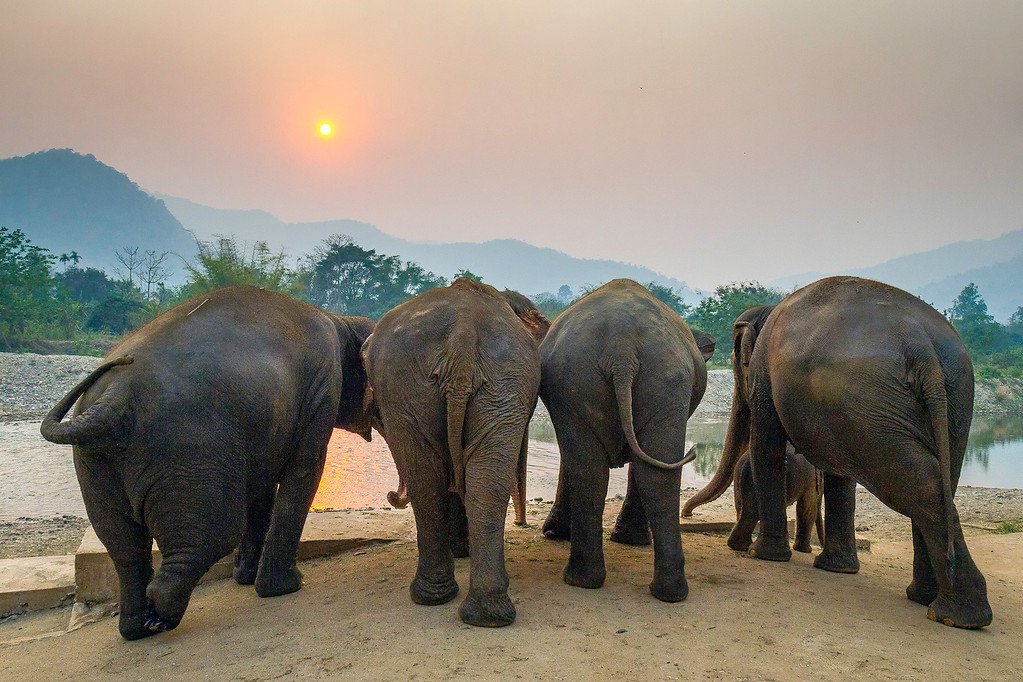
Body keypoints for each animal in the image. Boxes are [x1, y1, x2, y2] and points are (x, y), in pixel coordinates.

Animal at [40, 286, 374, 640]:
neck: (339, 320)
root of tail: (114, 397)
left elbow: (262, 488)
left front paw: (245, 579)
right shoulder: (321, 390)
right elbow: (303, 472)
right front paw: (286, 587)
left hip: (96, 465)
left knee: (124, 546)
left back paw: (137, 627)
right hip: (190, 450)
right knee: (214, 533)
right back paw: (161, 615)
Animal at [361, 278, 550, 627]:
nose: (522, 525)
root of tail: (462, 334)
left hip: (469, 382)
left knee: (437, 481)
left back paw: (456, 603)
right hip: (447, 382)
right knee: (455, 482)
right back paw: (466, 606)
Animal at [682, 443, 824, 554]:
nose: (821, 546)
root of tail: (746, 464)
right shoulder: (811, 480)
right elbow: (807, 509)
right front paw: (805, 551)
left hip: (738, 481)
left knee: (743, 509)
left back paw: (741, 546)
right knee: (752, 512)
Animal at [731, 276, 991, 628]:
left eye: (737, 365)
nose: (742, 550)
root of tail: (920, 344)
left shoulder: (764, 375)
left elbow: (767, 447)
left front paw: (764, 555)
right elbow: (838, 474)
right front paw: (836, 569)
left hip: (870, 404)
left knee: (922, 485)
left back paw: (952, 614)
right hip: (946, 401)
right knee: (938, 482)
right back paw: (931, 601)